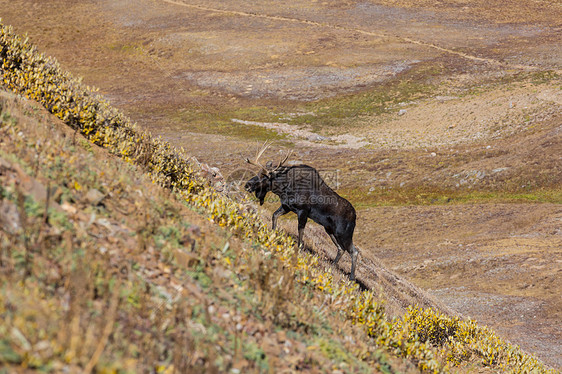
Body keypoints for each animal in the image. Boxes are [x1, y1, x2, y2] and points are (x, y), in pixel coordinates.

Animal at [242, 143, 356, 280]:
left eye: (264, 176)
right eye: (258, 173)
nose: (247, 185)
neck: (284, 187)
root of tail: (355, 216)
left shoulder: (303, 211)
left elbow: (300, 231)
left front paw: (299, 249)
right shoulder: (286, 207)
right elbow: (274, 216)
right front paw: (273, 234)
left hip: (343, 233)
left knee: (354, 251)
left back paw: (352, 277)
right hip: (329, 230)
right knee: (341, 249)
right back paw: (333, 266)